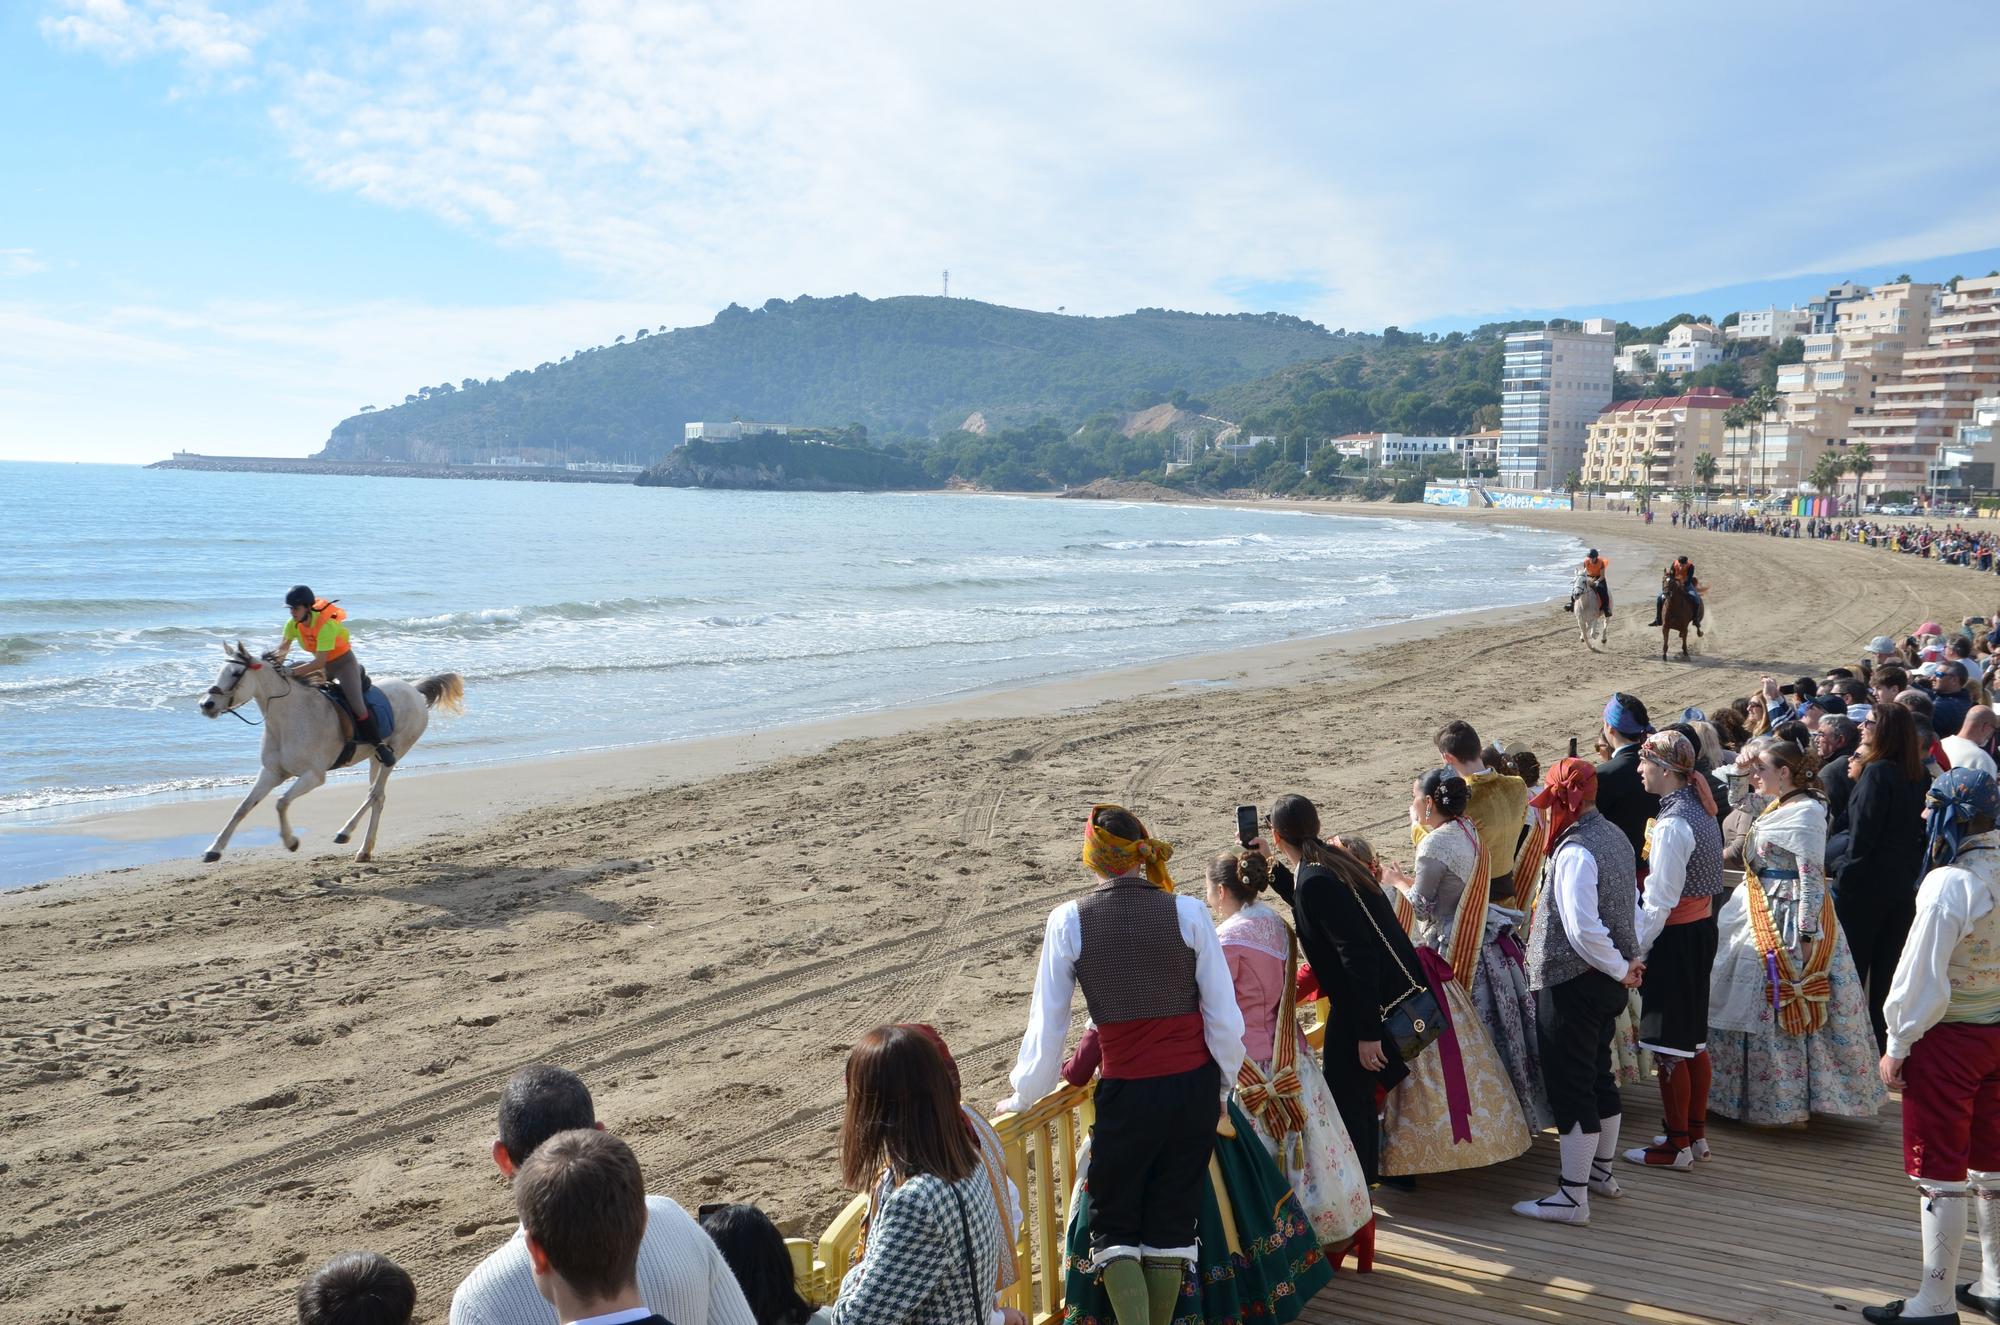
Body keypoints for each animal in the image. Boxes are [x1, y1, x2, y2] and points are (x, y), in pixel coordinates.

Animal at [198, 644, 464, 872]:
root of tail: (414, 689)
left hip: (396, 751)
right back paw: (364, 850)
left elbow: (281, 802)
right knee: (378, 798)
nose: (206, 704)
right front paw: (213, 850)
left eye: (235, 673)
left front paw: (291, 841)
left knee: (374, 794)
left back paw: (345, 832)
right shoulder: (272, 773)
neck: (288, 720)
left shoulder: (313, 776)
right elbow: (242, 808)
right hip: (374, 758)